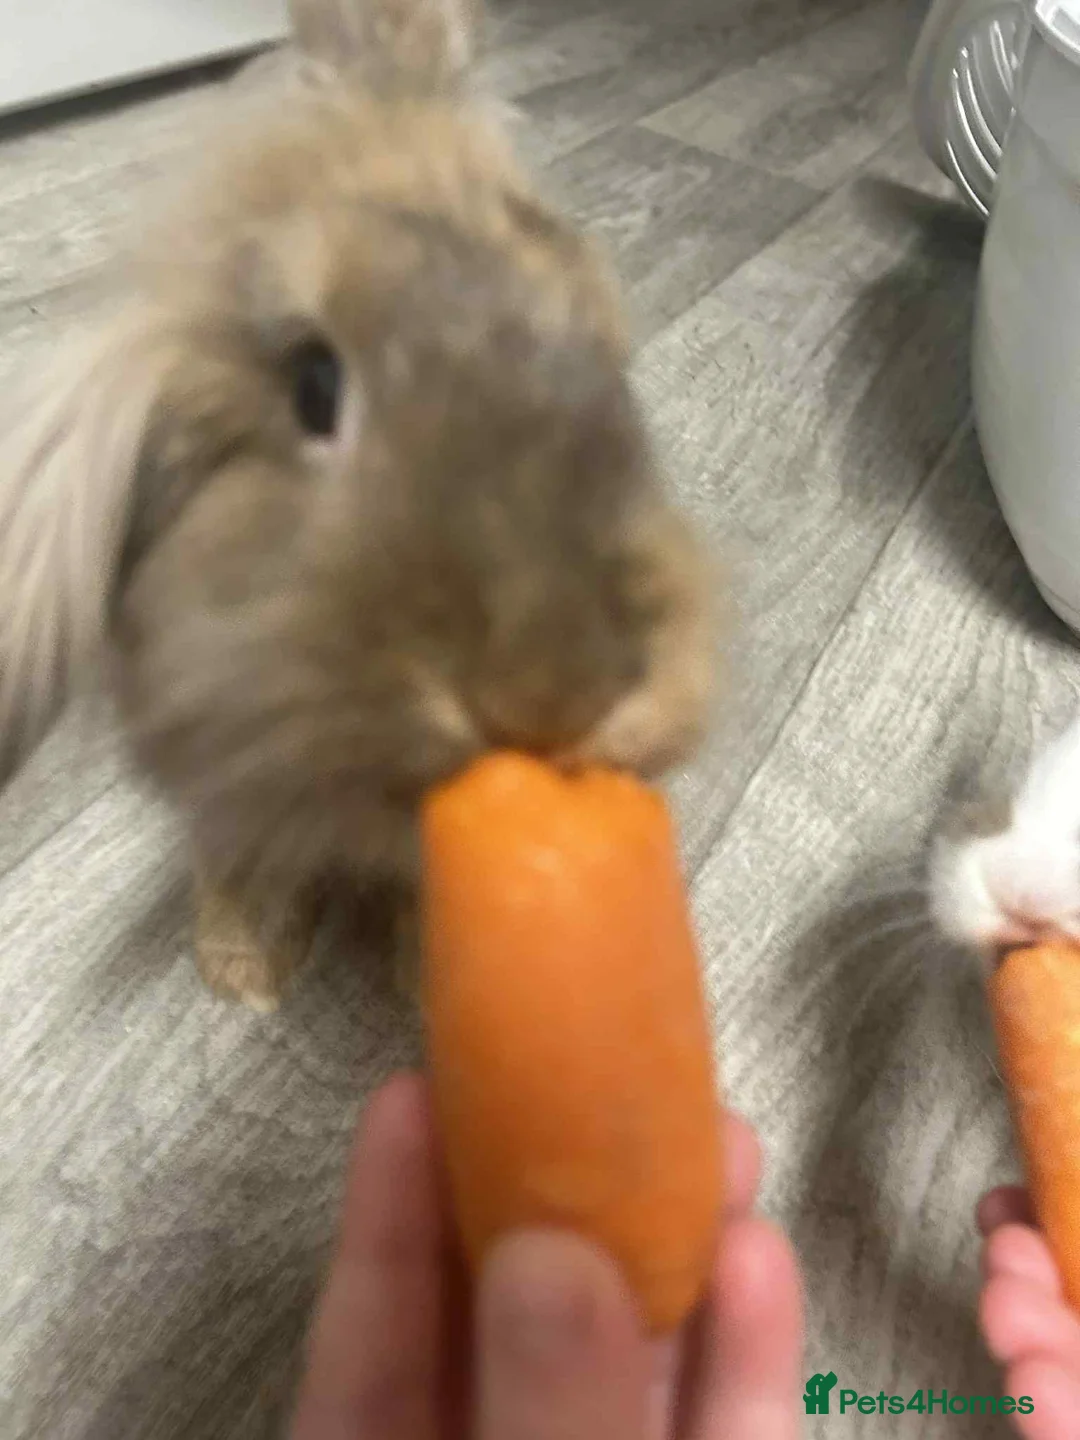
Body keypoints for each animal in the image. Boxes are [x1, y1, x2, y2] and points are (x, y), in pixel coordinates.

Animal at [0, 0, 719, 1010]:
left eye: (611, 360)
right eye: (313, 385)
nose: (554, 697)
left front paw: (426, 973)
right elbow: (244, 854)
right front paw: (245, 972)